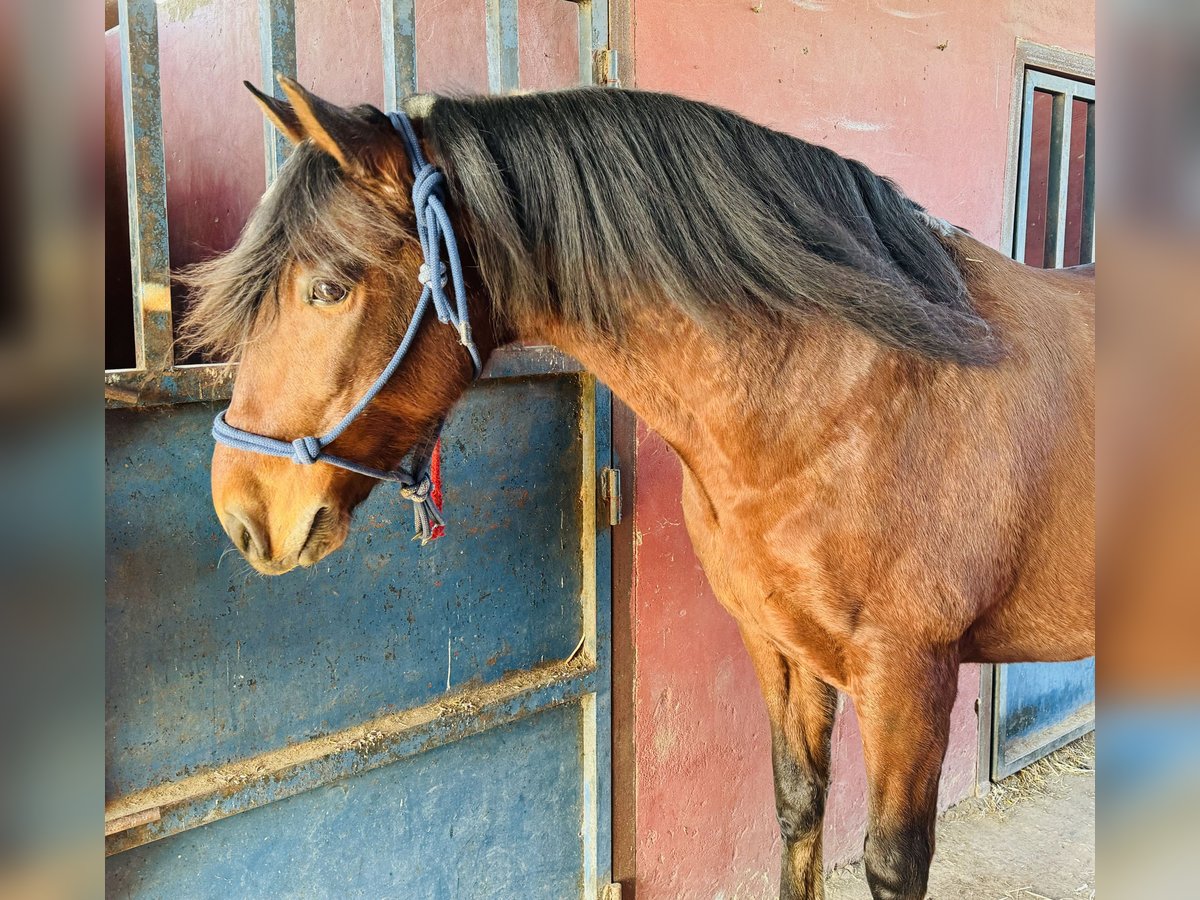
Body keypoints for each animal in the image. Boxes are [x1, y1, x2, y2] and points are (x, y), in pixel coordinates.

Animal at [182, 79, 1094, 900]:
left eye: (328, 288)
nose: (244, 512)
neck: (850, 391)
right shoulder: (780, 645)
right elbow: (798, 809)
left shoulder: (908, 676)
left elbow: (893, 862)